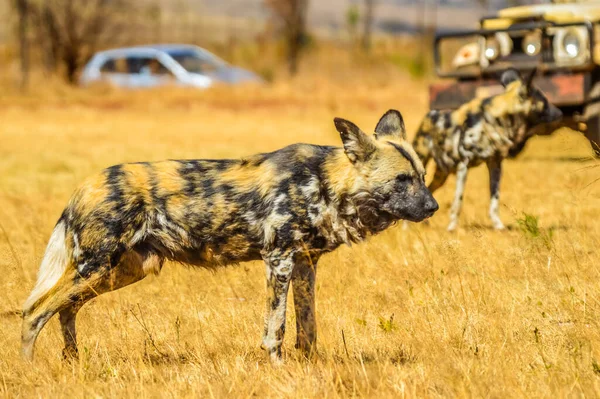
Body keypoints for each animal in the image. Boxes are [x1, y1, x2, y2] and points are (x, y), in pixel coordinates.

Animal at [22, 109, 436, 366]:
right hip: (95, 268)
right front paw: (278, 367)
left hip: (121, 271)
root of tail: (82, 187)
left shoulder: (304, 264)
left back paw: (72, 361)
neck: (325, 184)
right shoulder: (278, 260)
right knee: (34, 311)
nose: (432, 207)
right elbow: (276, 326)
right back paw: (30, 368)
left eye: (423, 177)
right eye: (402, 180)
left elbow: (308, 327)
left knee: (65, 309)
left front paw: (309, 366)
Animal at [412, 69, 564, 231]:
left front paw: (499, 226)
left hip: (442, 176)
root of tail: (429, 114)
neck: (493, 122)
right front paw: (452, 228)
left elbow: (494, 201)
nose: (560, 113)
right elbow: (458, 202)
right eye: (545, 102)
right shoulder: (463, 165)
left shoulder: (495, 164)